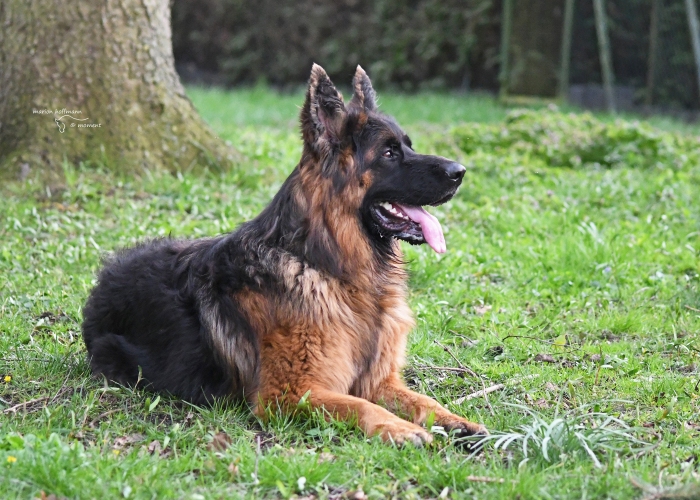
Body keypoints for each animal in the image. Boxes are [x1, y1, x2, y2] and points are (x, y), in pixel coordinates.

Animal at [82, 63, 486, 446]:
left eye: (408, 146)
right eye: (389, 153)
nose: (461, 172)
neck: (330, 270)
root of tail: (106, 275)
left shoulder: (379, 381)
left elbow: (423, 401)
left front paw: (456, 421)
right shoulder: (291, 393)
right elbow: (361, 405)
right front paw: (399, 429)